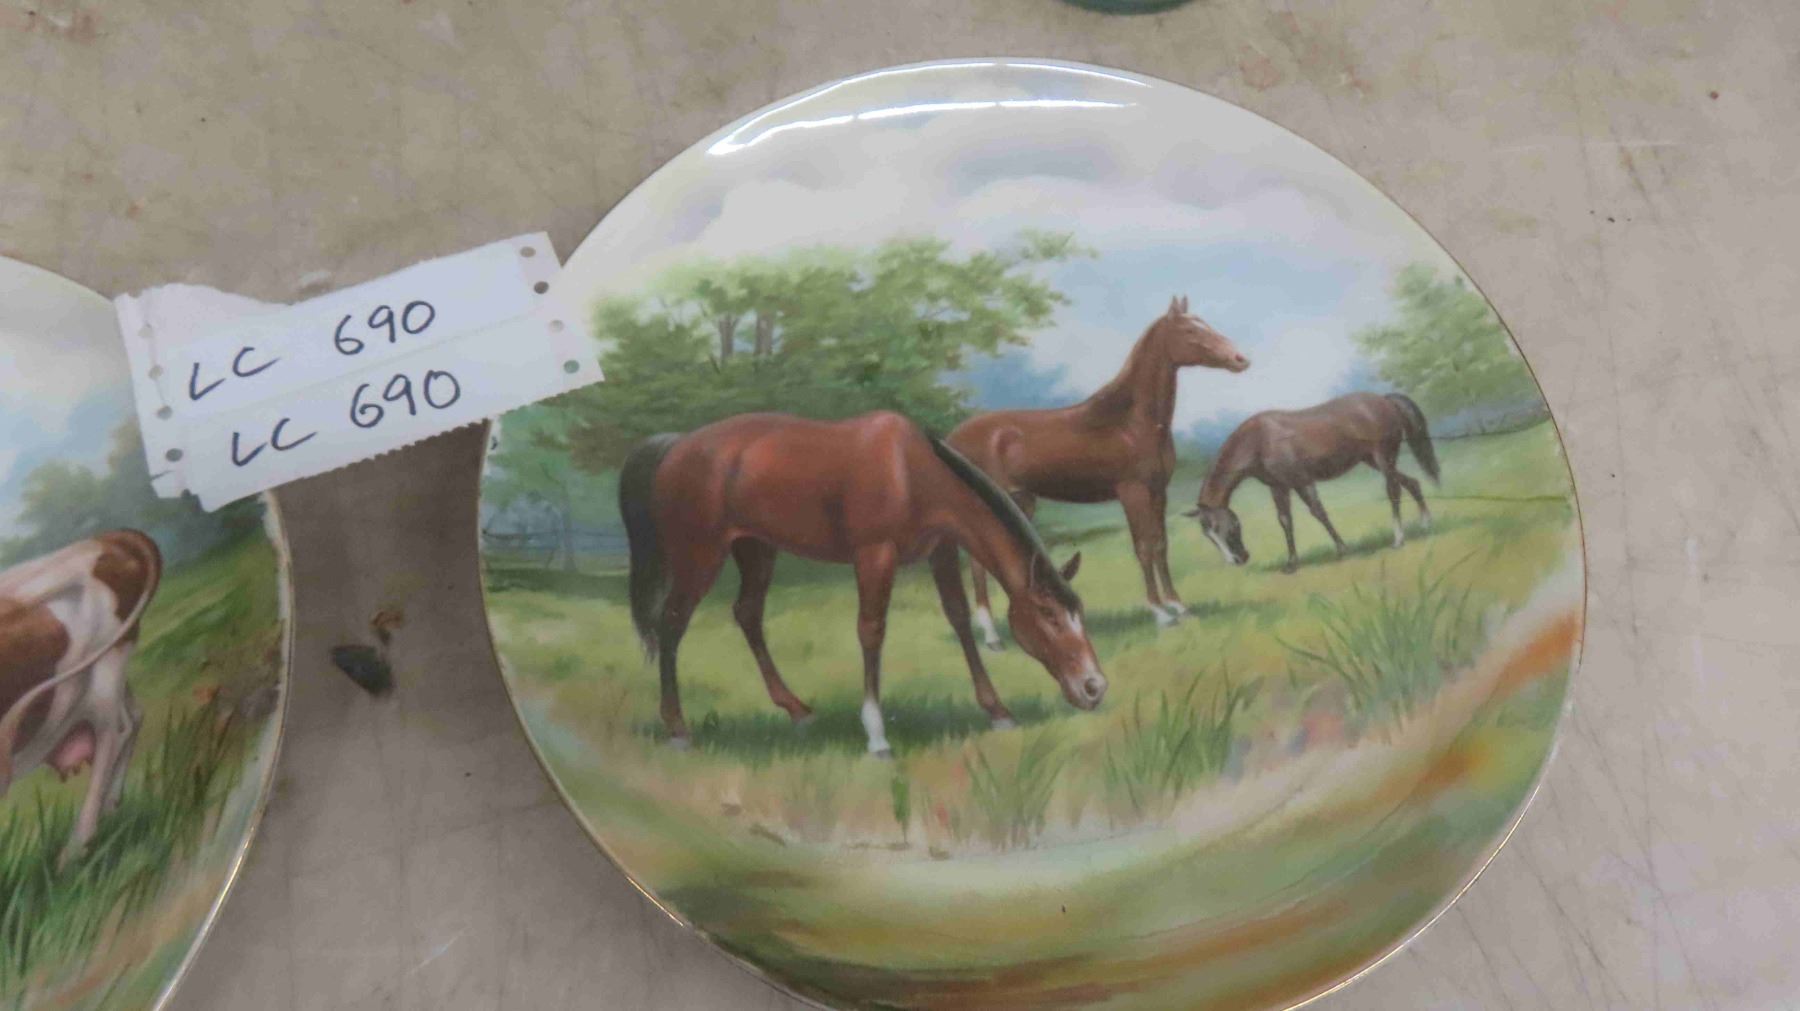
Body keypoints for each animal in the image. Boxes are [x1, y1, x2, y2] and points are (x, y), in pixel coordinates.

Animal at [0, 530, 160, 865]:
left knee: (114, 731)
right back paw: (110, 809)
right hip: (109, 675)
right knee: (134, 716)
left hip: (106, 670)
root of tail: (106, 540)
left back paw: (74, 850)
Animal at [618, 411, 1106, 756]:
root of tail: (676, 446)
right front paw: (876, 735)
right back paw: (678, 728)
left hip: (755, 549)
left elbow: (959, 618)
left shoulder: (941, 551)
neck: (911, 471)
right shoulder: (875, 556)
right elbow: (871, 631)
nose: (1094, 687)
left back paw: (796, 709)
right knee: (672, 624)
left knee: (747, 614)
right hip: (700, 556)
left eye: (1078, 613)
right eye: (1047, 614)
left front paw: (998, 710)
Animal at [947, 296, 1249, 646]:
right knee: (976, 563)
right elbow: (1143, 548)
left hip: (1020, 501)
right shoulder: (1132, 492)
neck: (1129, 423)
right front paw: (1160, 613)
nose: (1240, 359)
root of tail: (952, 438)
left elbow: (1161, 545)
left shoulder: (1158, 492)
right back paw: (991, 635)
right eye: (1190, 330)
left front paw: (1179, 607)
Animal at [1183, 392, 1439, 573]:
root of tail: (1384, 400)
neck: (1258, 441)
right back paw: (1426, 523)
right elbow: (1285, 521)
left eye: (1226, 528)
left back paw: (1399, 539)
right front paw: (1291, 563)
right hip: (1373, 460)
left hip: (1383, 459)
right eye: (1209, 536)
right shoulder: (1279, 487)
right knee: (1412, 483)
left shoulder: (1302, 481)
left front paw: (1342, 549)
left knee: (1394, 490)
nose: (1237, 560)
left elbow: (1318, 512)